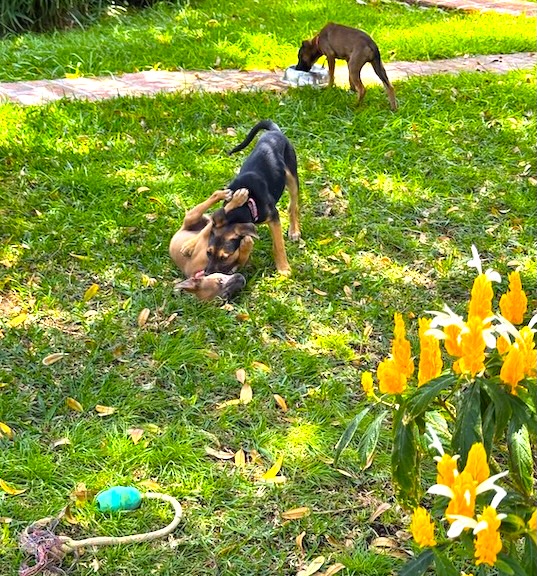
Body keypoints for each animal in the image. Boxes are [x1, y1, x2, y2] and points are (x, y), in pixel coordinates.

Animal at [204, 120, 300, 277]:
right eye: (208, 252)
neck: (246, 206)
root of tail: (274, 132)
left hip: (292, 176)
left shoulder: (274, 217)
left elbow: (279, 244)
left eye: (225, 257)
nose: (206, 274)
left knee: (293, 205)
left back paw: (294, 231)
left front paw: (283, 268)